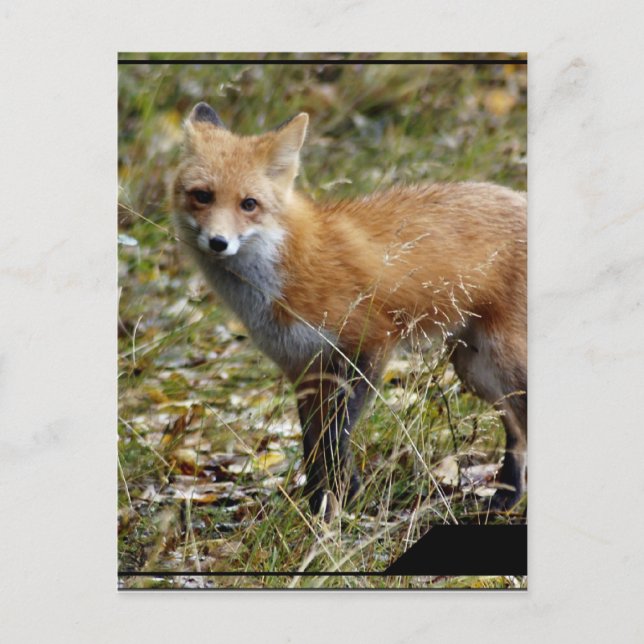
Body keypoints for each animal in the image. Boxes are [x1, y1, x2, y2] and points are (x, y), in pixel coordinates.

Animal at [171, 101, 527, 521]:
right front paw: (320, 506)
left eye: (248, 204)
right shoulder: (304, 367)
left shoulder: (368, 345)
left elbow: (334, 436)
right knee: (518, 431)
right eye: (203, 196)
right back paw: (508, 495)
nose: (218, 242)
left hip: (502, 361)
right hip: (475, 368)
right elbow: (313, 445)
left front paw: (340, 498)